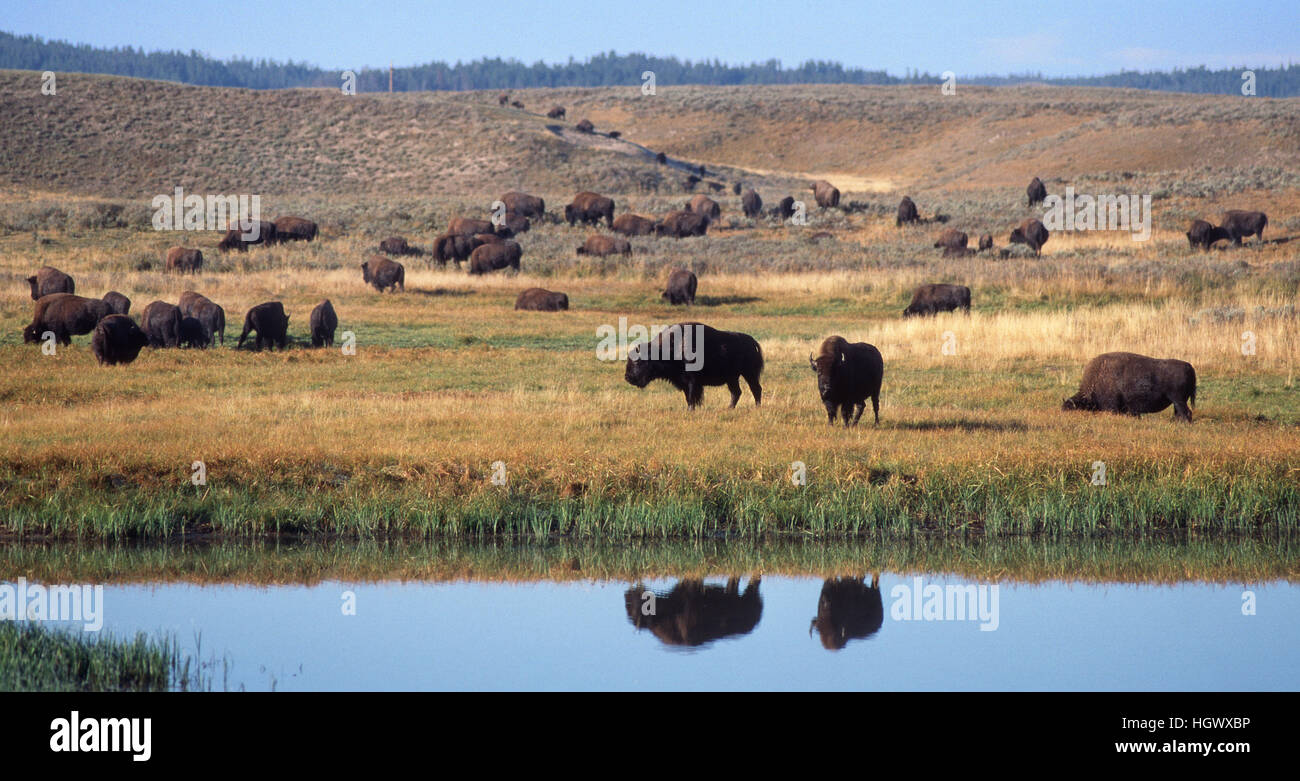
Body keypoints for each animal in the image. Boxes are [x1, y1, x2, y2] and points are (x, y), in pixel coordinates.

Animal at [621, 320, 759, 410]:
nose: (627, 377)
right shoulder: (683, 382)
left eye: (637, 361)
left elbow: (692, 397)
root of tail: (752, 342)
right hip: (732, 378)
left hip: (749, 374)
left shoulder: (692, 381)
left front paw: (691, 410)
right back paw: (729, 408)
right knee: (737, 392)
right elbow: (688, 397)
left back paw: (756, 407)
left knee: (755, 389)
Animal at [1060, 350, 1190, 421]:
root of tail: (1189, 366)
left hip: (1178, 400)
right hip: (1177, 402)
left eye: (1070, 408)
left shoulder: (1111, 406)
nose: (1063, 412)